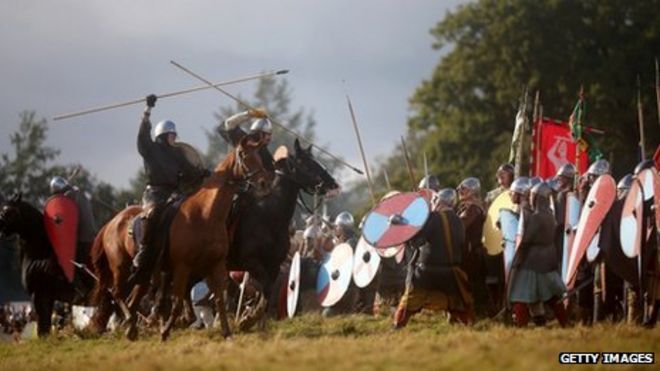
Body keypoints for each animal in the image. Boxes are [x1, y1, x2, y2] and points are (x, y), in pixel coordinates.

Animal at [0, 195, 93, 338]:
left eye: (9, 211)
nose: (0, 228)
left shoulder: (39, 295)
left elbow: (43, 327)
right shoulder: (47, 298)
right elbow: (45, 326)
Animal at [90, 134, 270, 342]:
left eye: (258, 155)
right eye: (244, 155)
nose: (264, 183)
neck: (205, 214)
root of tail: (110, 224)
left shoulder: (215, 266)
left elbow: (219, 300)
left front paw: (227, 333)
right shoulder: (182, 268)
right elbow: (177, 304)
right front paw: (165, 331)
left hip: (144, 274)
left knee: (131, 300)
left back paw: (131, 328)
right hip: (121, 267)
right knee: (117, 293)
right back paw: (130, 322)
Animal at [228, 138, 340, 326]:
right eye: (305, 162)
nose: (333, 184)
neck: (269, 216)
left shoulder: (273, 266)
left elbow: (267, 293)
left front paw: (252, 317)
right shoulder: (251, 262)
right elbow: (264, 290)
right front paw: (248, 317)